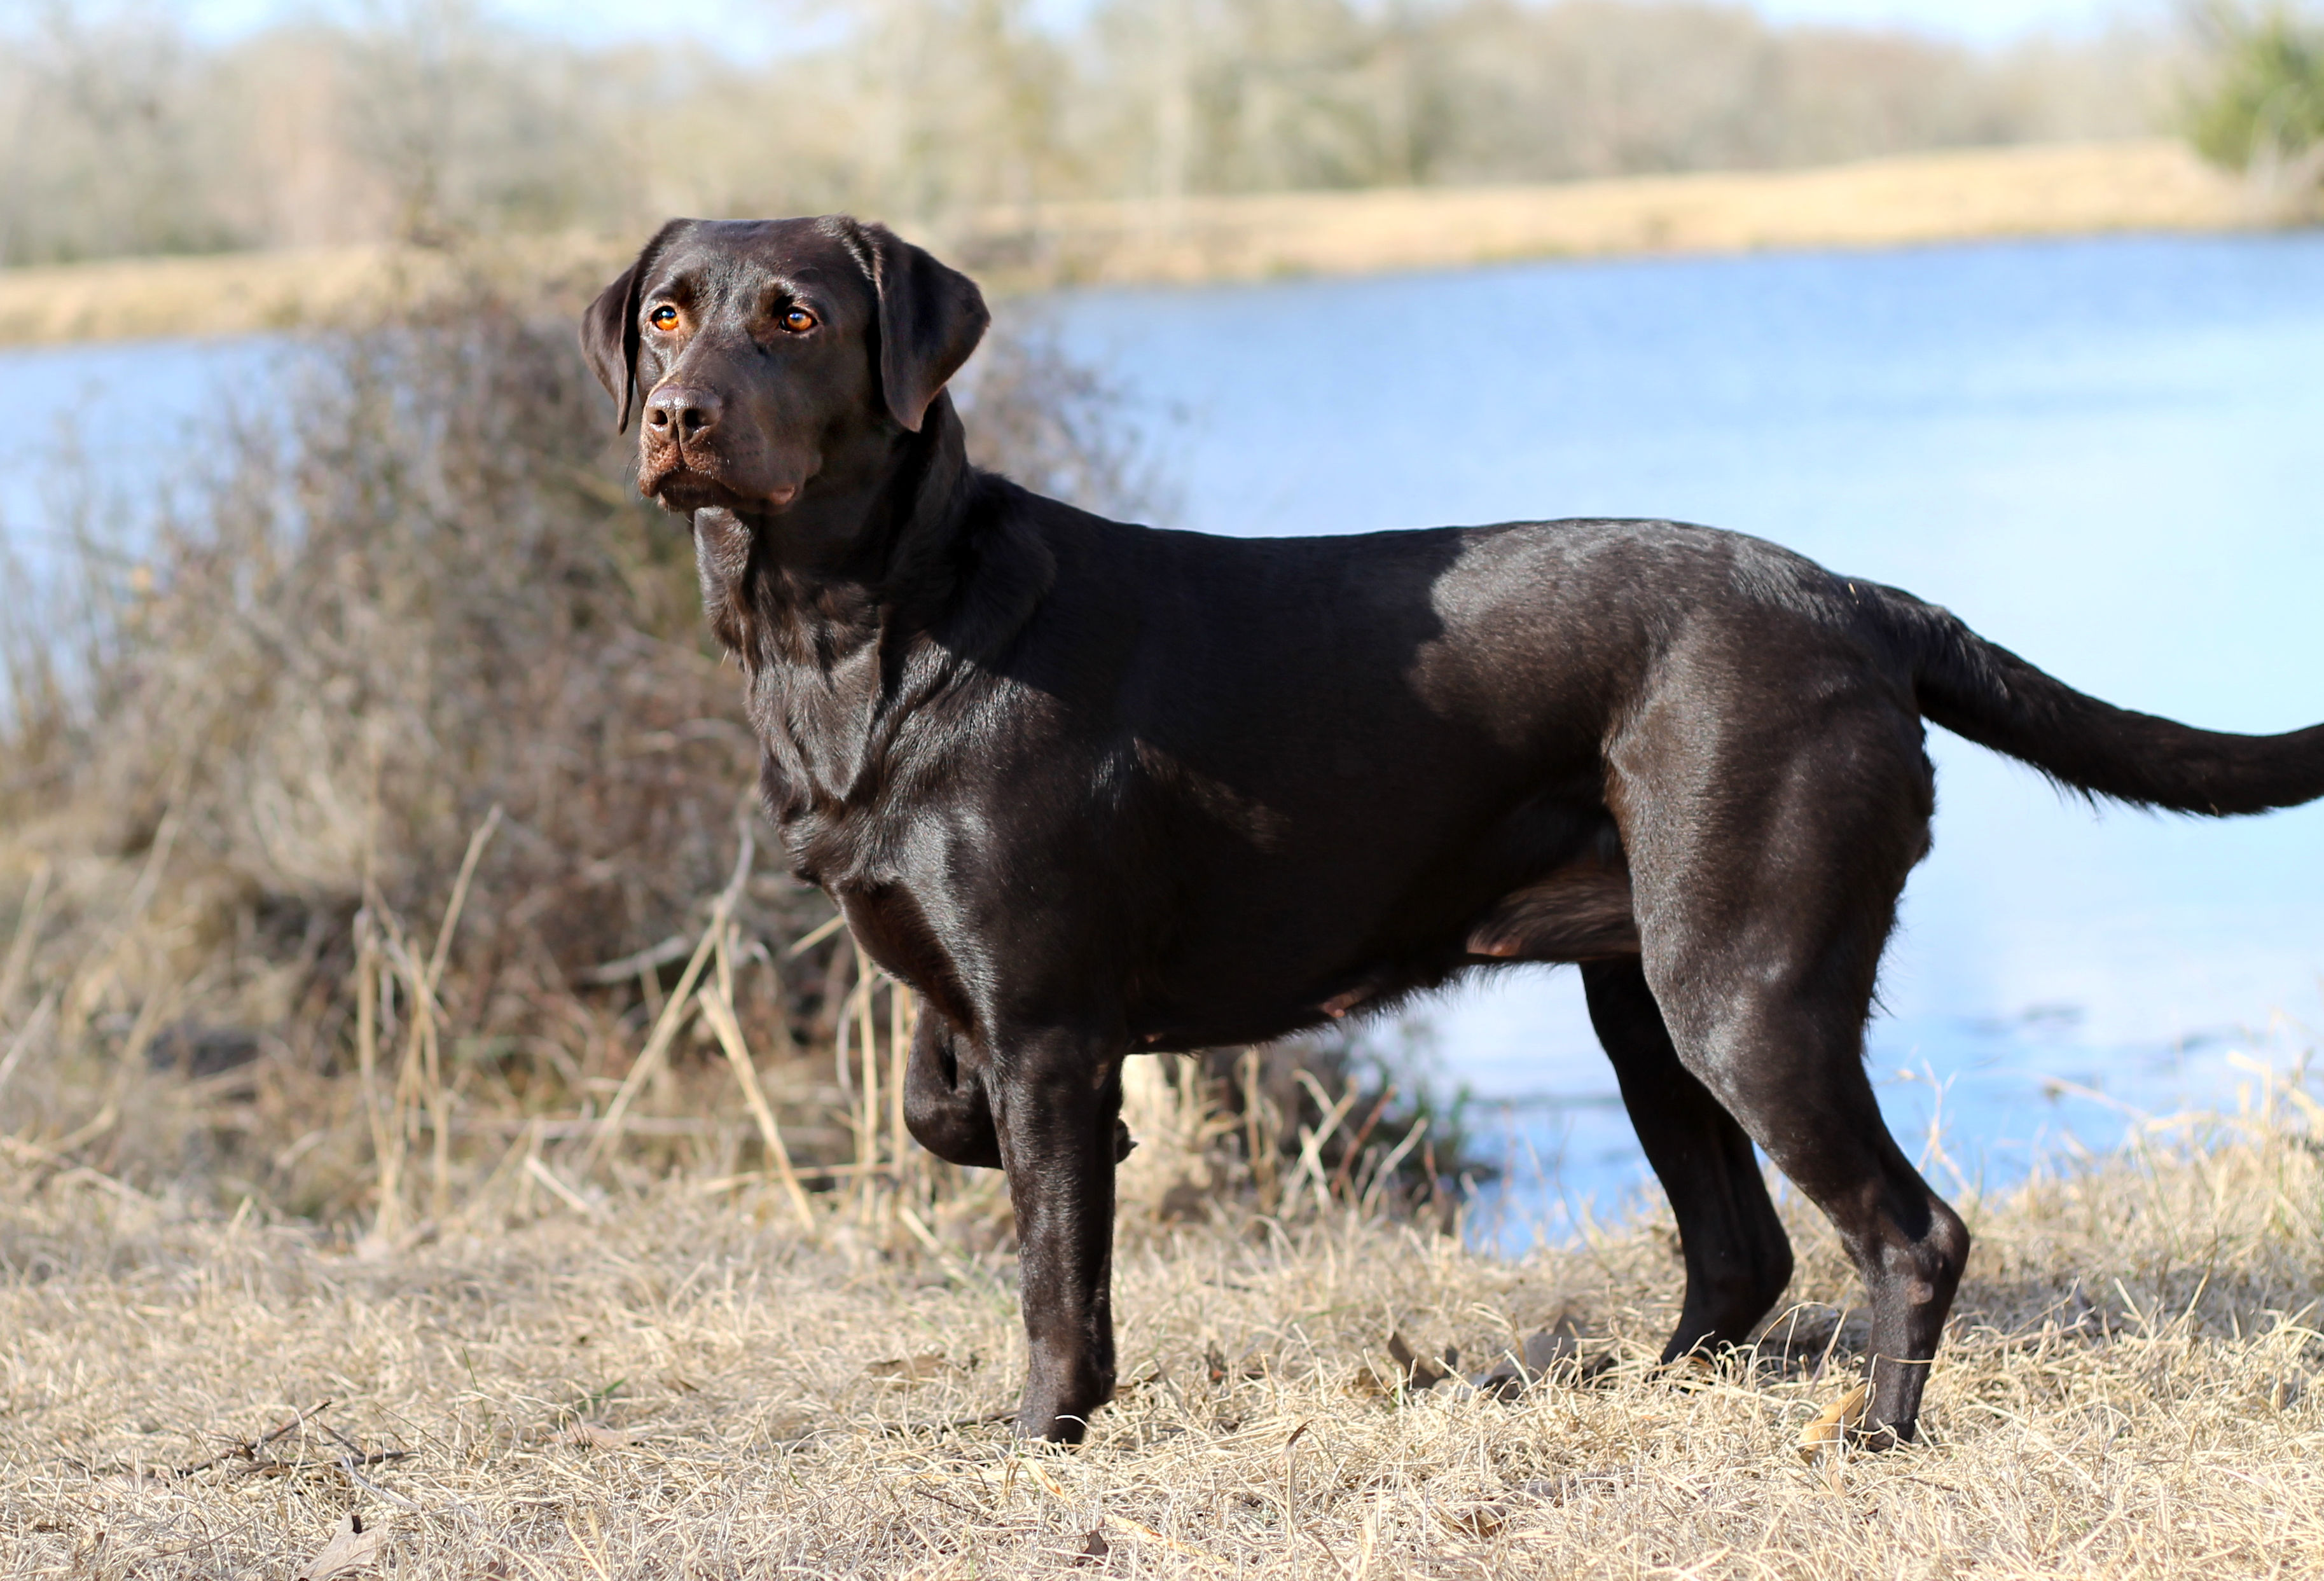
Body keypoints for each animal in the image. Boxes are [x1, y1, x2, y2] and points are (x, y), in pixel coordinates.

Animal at [576, 212, 2324, 1441]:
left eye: (796, 317)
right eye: (667, 312)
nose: (676, 415)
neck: (856, 628)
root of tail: (1862, 603)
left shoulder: (1056, 1027)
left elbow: (1055, 1275)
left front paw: (1042, 1436)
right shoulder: (993, 999)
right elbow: (947, 1107)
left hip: (1740, 993)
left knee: (1913, 1231)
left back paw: (1867, 1437)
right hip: (1647, 1003)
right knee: (1742, 1247)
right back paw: (1645, 1387)